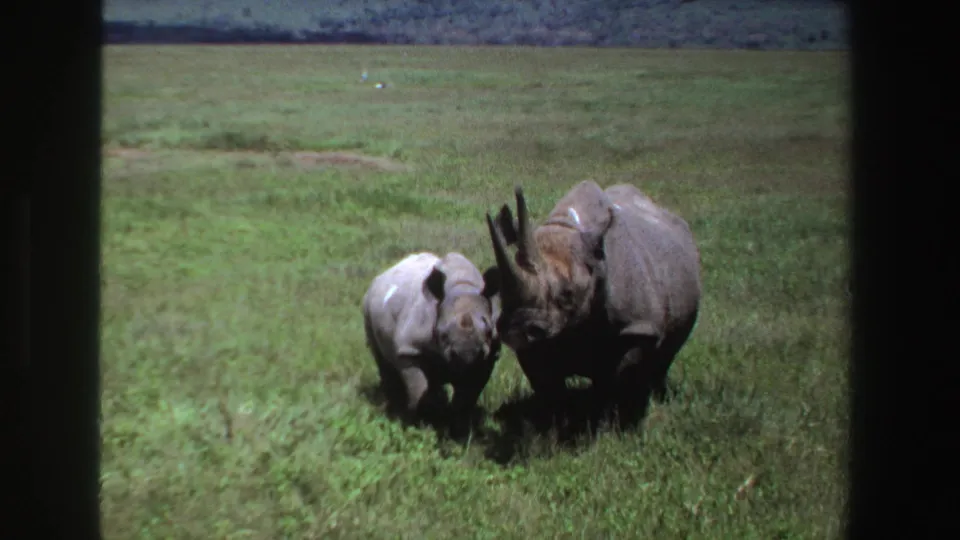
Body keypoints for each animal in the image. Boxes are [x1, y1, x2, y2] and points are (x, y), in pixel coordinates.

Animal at [362, 252, 502, 429]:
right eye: (442, 334)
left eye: (489, 332)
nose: (467, 354)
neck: (462, 285)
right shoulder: (410, 349)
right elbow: (418, 387)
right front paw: (421, 423)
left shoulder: (489, 357)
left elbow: (467, 397)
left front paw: (458, 424)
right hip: (367, 305)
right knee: (381, 358)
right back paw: (393, 406)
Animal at [483, 180, 702, 424]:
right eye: (502, 291)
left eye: (568, 294)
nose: (517, 330)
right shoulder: (534, 340)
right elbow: (548, 385)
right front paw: (556, 422)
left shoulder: (638, 326)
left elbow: (618, 376)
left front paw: (612, 421)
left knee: (667, 353)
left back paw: (656, 395)